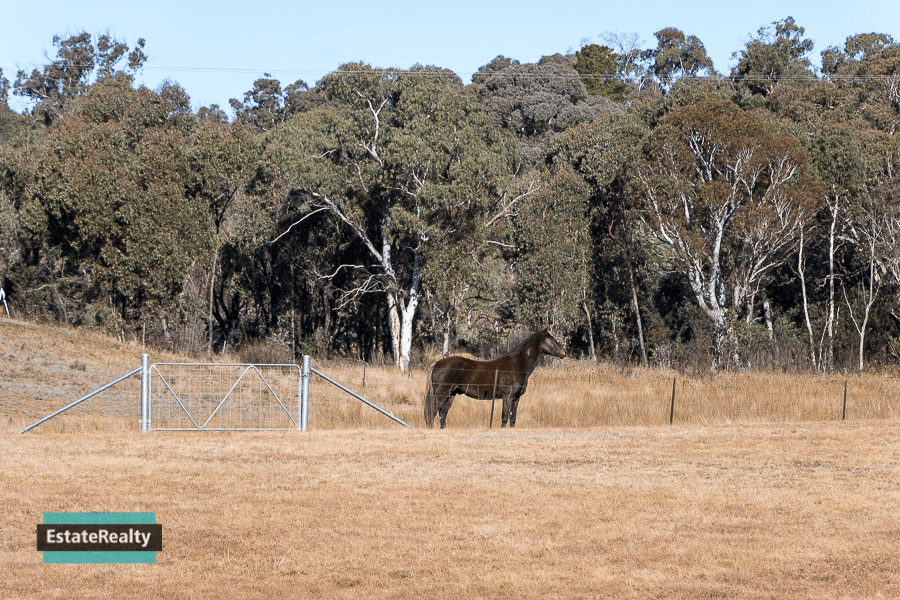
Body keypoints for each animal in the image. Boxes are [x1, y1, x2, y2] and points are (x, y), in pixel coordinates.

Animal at [426, 328, 568, 426]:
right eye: (552, 339)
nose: (564, 352)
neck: (517, 365)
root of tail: (437, 364)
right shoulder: (507, 397)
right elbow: (505, 417)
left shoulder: (516, 398)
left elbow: (513, 419)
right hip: (442, 394)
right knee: (433, 412)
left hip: (451, 395)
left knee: (442, 414)